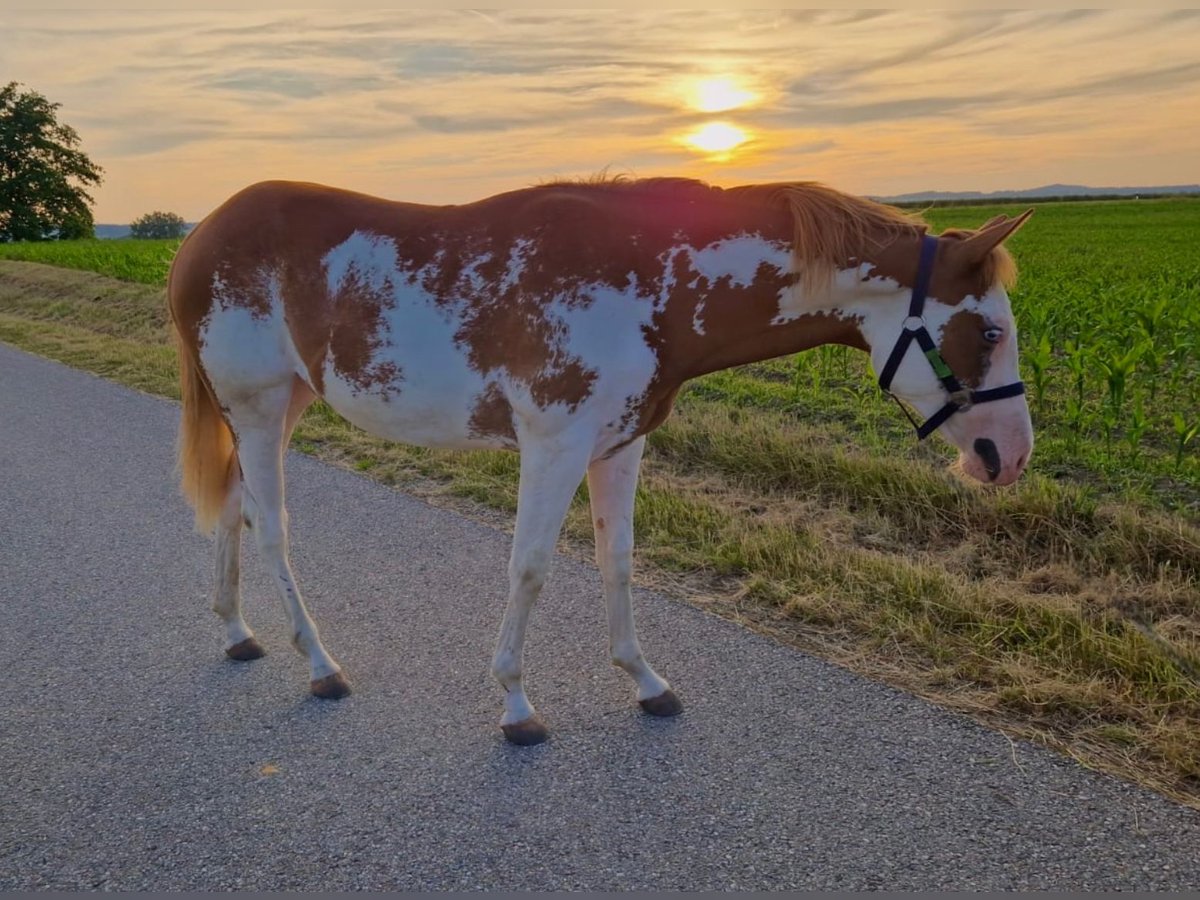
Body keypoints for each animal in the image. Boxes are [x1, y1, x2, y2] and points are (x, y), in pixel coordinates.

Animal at [168, 177, 1034, 745]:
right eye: (989, 330)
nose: (1010, 457)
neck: (648, 281)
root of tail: (198, 238)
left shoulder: (620, 444)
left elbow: (618, 558)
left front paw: (645, 682)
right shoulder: (553, 447)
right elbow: (530, 568)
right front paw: (516, 706)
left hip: (281, 406)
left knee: (236, 507)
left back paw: (236, 630)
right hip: (257, 406)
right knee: (273, 526)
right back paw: (319, 664)